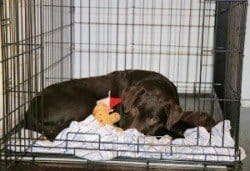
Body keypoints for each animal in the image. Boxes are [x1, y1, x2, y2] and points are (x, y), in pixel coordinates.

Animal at [23, 69, 215, 140]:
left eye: (153, 118)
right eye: (135, 109)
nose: (128, 134)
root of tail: (30, 108)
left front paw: (202, 118)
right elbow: (168, 129)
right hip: (84, 103)